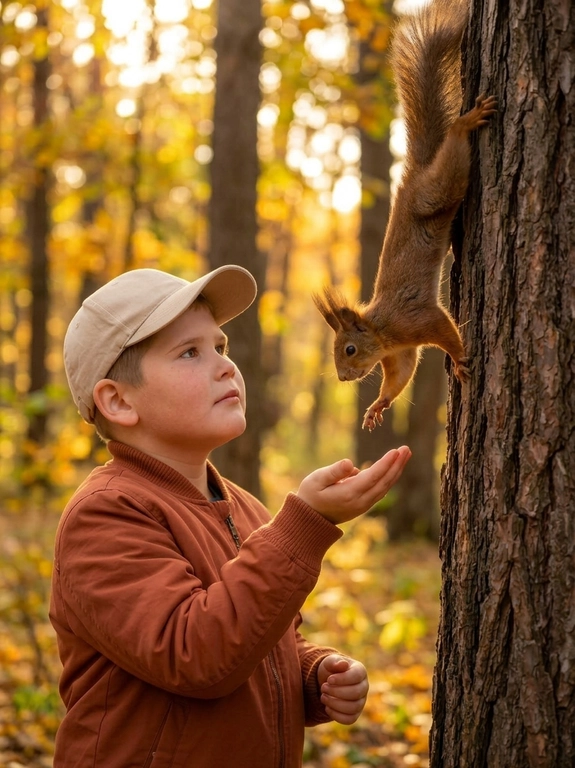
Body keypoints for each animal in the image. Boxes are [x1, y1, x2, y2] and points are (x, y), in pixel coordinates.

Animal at [314, 0, 496, 431]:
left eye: (349, 349)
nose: (343, 378)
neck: (383, 331)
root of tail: (415, 174)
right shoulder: (401, 354)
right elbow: (400, 377)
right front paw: (377, 406)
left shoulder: (417, 320)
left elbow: (446, 330)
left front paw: (459, 361)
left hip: (436, 192)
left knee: (453, 161)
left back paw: (466, 122)